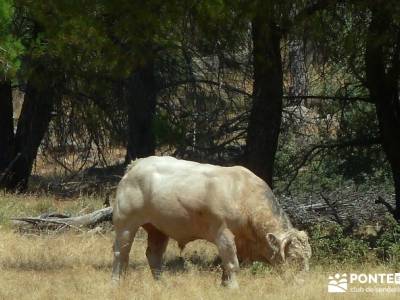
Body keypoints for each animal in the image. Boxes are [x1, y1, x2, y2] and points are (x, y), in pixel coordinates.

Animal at [111, 156, 310, 288]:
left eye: (308, 257)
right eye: (293, 258)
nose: (302, 283)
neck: (244, 195)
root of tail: (137, 164)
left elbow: (227, 266)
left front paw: (225, 285)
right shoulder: (224, 235)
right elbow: (232, 264)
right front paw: (233, 288)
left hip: (158, 229)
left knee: (154, 255)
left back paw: (163, 284)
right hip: (125, 224)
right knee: (121, 253)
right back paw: (117, 283)